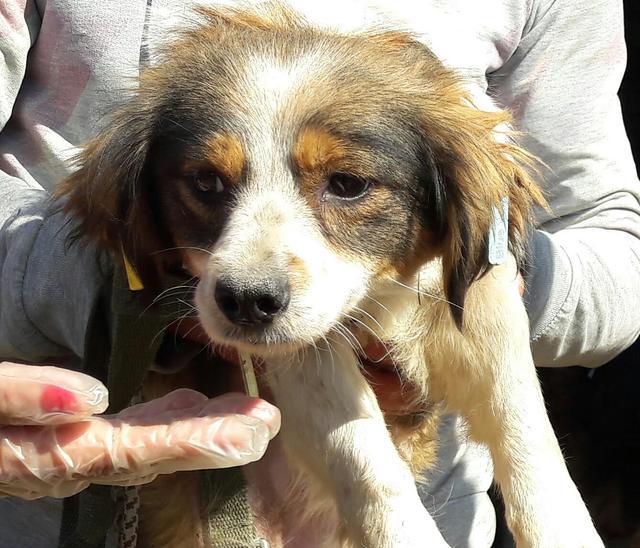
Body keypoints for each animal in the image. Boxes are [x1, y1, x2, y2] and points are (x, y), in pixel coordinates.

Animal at [57, 5, 604, 548]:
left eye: (347, 184)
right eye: (206, 181)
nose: (246, 301)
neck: (382, 291)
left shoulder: (482, 296)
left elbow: (524, 419)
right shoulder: (301, 352)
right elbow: (366, 461)